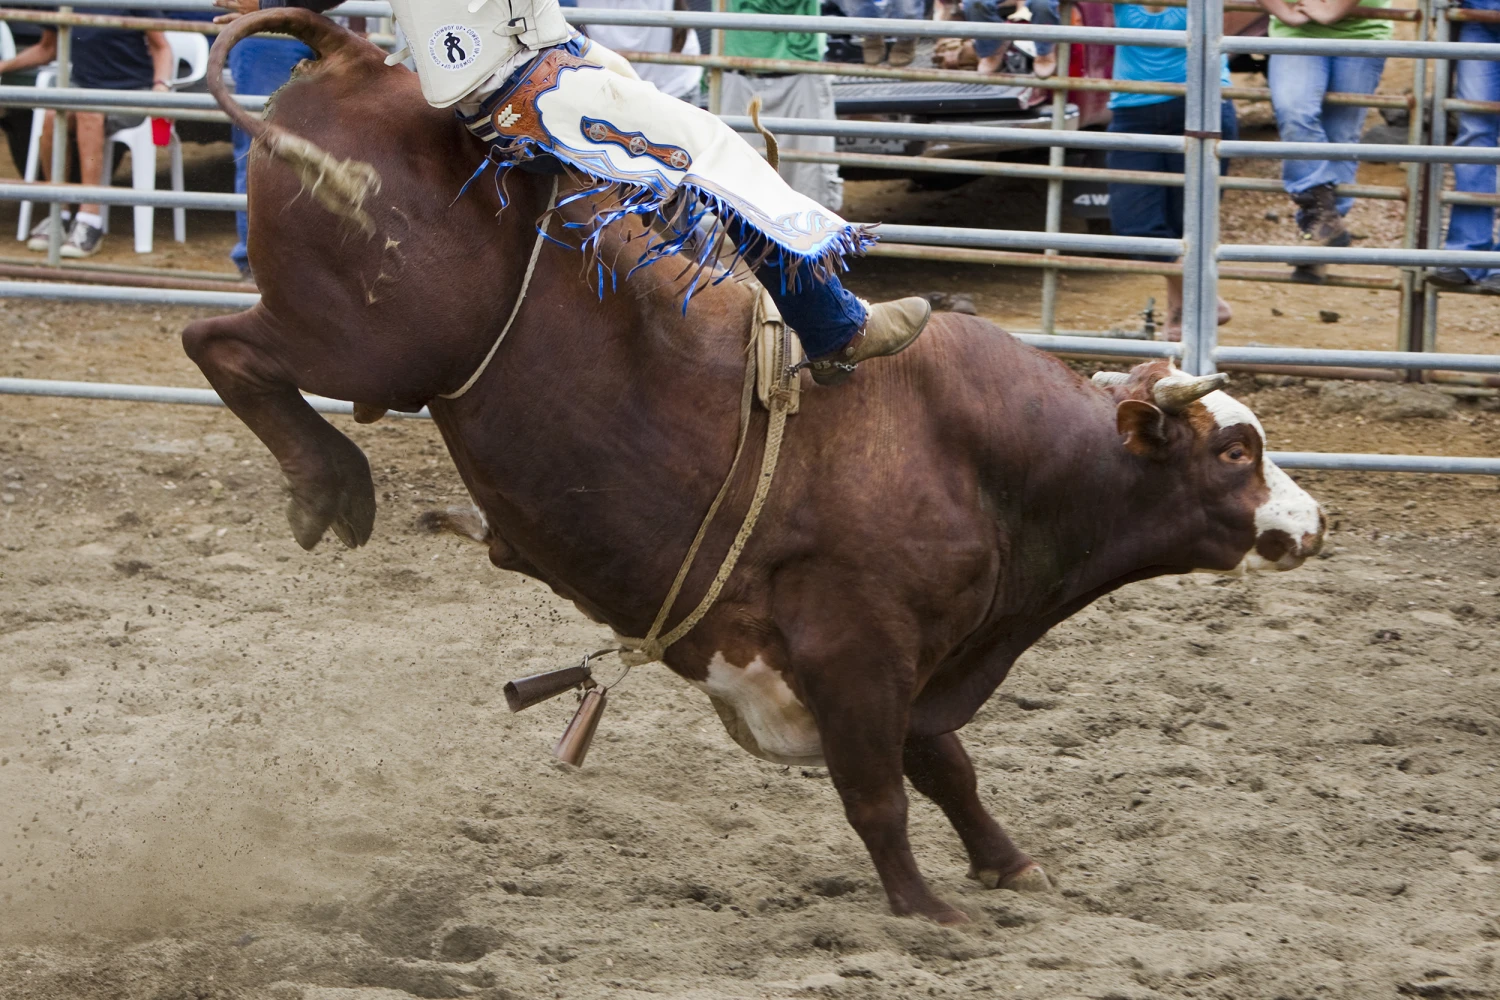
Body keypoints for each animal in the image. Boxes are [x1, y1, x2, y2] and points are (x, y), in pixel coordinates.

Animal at [187, 11, 1326, 929]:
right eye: (1234, 450)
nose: (1314, 522)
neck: (990, 459)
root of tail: (352, 53)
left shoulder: (917, 665)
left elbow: (947, 767)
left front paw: (1008, 865)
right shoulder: (855, 648)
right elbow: (881, 793)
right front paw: (927, 911)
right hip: (370, 341)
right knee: (219, 342)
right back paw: (329, 480)